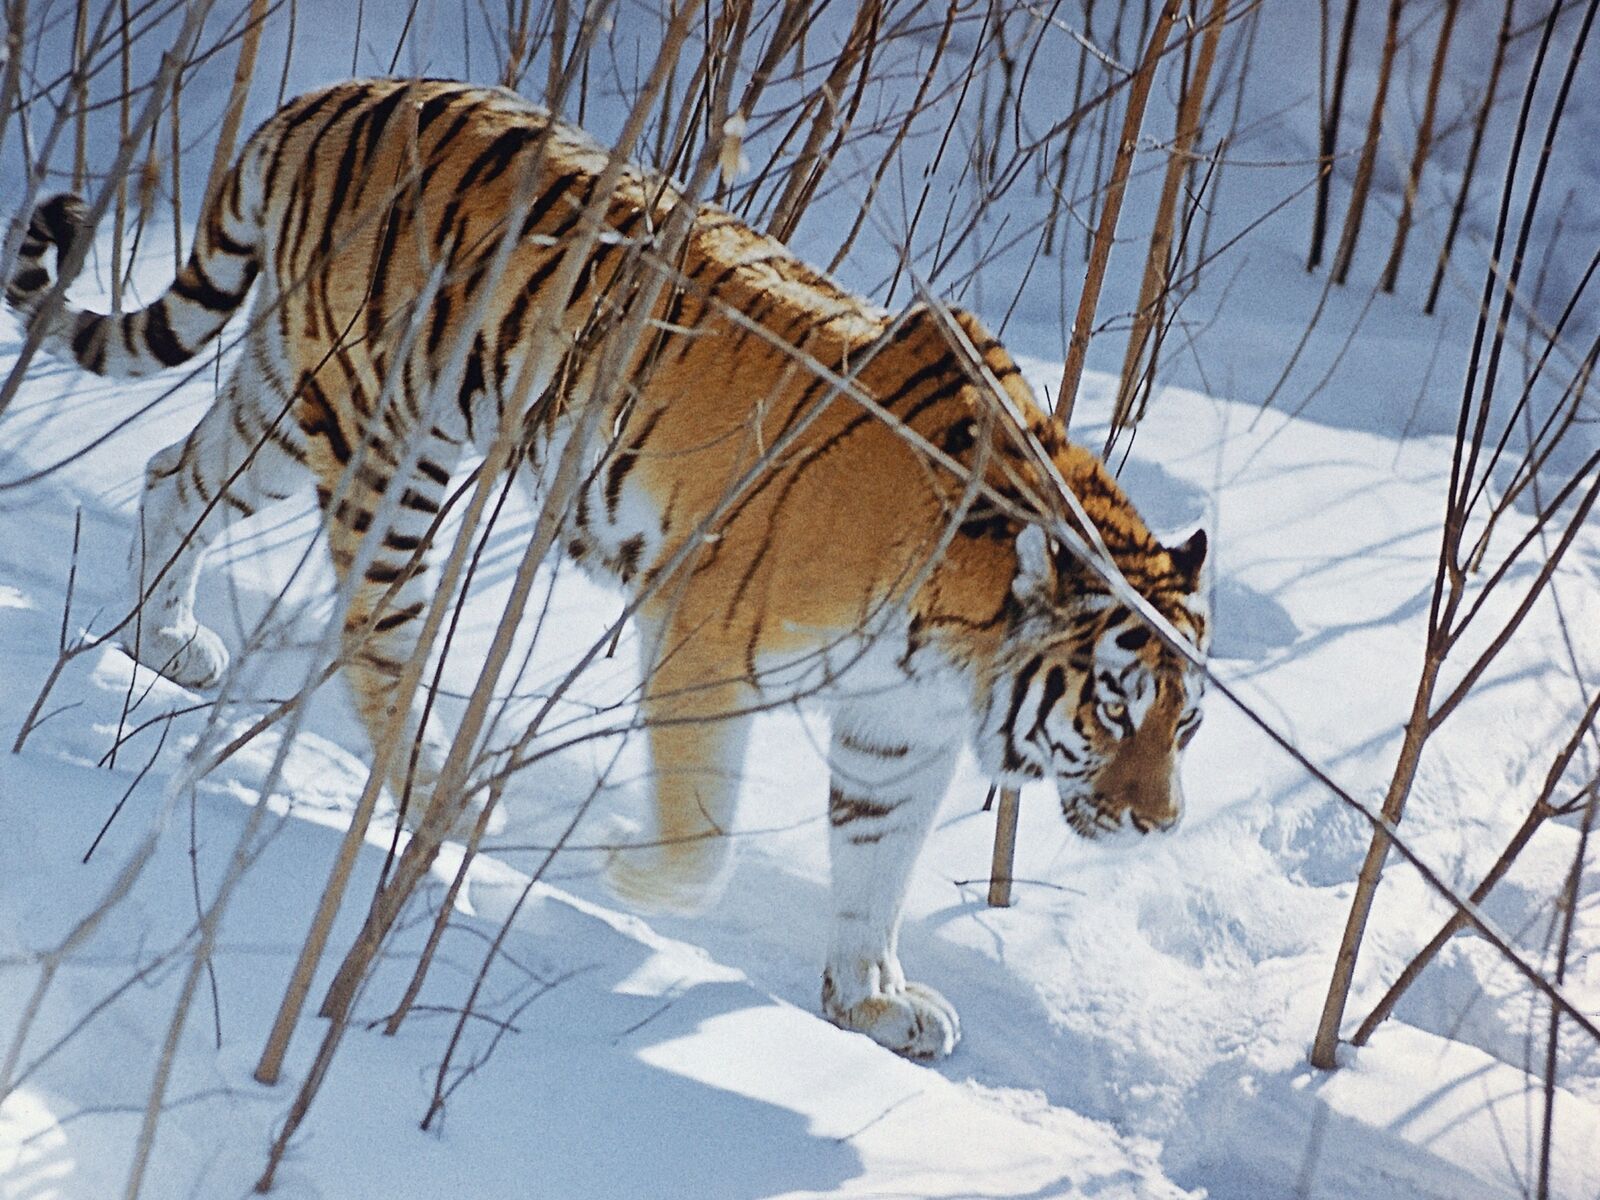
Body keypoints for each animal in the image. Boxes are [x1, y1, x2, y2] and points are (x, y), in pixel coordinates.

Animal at [6, 77, 1203, 1062]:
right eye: (1111, 708)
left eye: (1182, 726)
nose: (1161, 825)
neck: (961, 646)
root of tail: (330, 98)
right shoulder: (703, 637)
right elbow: (702, 836)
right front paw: (624, 869)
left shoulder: (893, 727)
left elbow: (876, 862)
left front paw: (868, 1001)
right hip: (383, 430)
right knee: (373, 631)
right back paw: (436, 792)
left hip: (287, 398)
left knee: (173, 474)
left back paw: (161, 642)